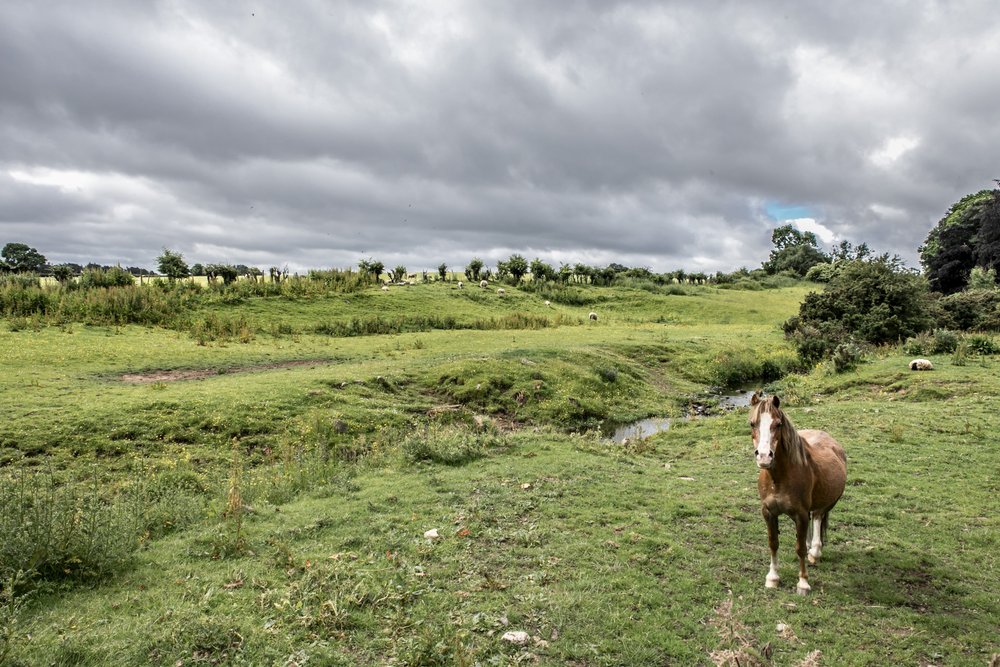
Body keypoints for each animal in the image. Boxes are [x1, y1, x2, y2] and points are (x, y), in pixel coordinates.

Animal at [752, 392, 844, 596]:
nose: (764, 456)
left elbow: (800, 548)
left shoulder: (800, 514)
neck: (779, 479)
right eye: (752, 423)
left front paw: (803, 583)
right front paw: (772, 578)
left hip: (825, 504)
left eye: (778, 424)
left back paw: (815, 552)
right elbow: (773, 543)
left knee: (817, 517)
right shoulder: (768, 513)